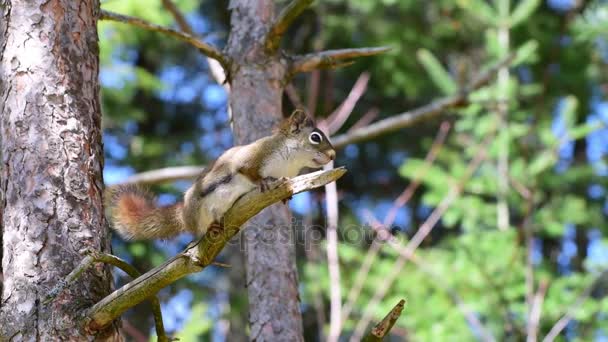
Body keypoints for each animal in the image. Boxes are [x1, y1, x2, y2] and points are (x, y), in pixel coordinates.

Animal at [109, 109, 338, 240]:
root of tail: (184, 215)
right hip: (199, 210)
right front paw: (262, 182)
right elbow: (248, 171)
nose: (333, 155)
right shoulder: (253, 157)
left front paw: (285, 196)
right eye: (315, 137)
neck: (290, 162)